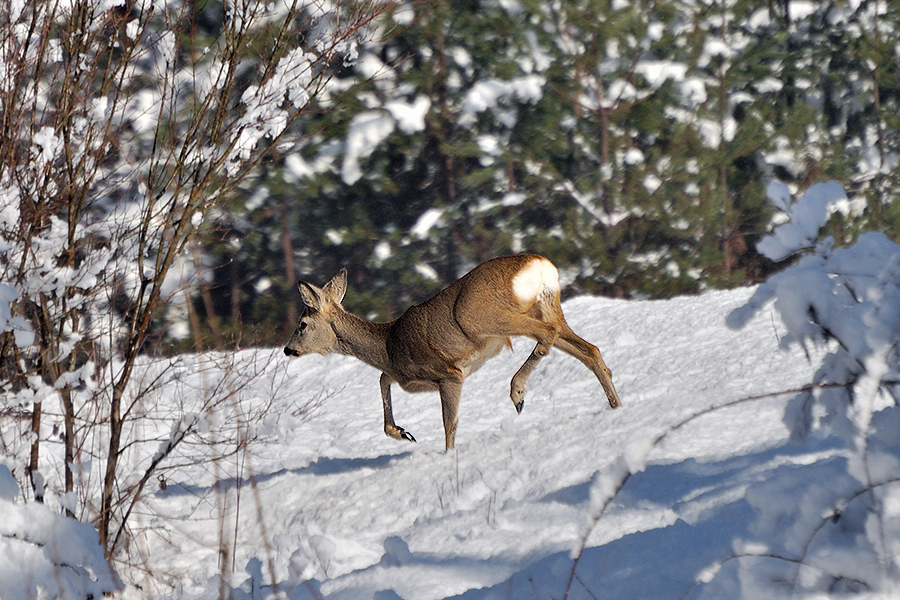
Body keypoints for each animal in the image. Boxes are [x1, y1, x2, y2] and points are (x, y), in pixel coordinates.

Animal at [284, 253, 624, 450]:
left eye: (302, 324)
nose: (288, 350)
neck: (389, 344)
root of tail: (540, 264)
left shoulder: (449, 374)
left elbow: (449, 424)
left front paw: (446, 457)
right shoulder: (407, 376)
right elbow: (382, 379)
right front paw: (402, 433)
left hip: (488, 317)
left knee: (549, 336)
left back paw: (517, 392)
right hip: (547, 305)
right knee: (590, 350)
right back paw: (617, 406)